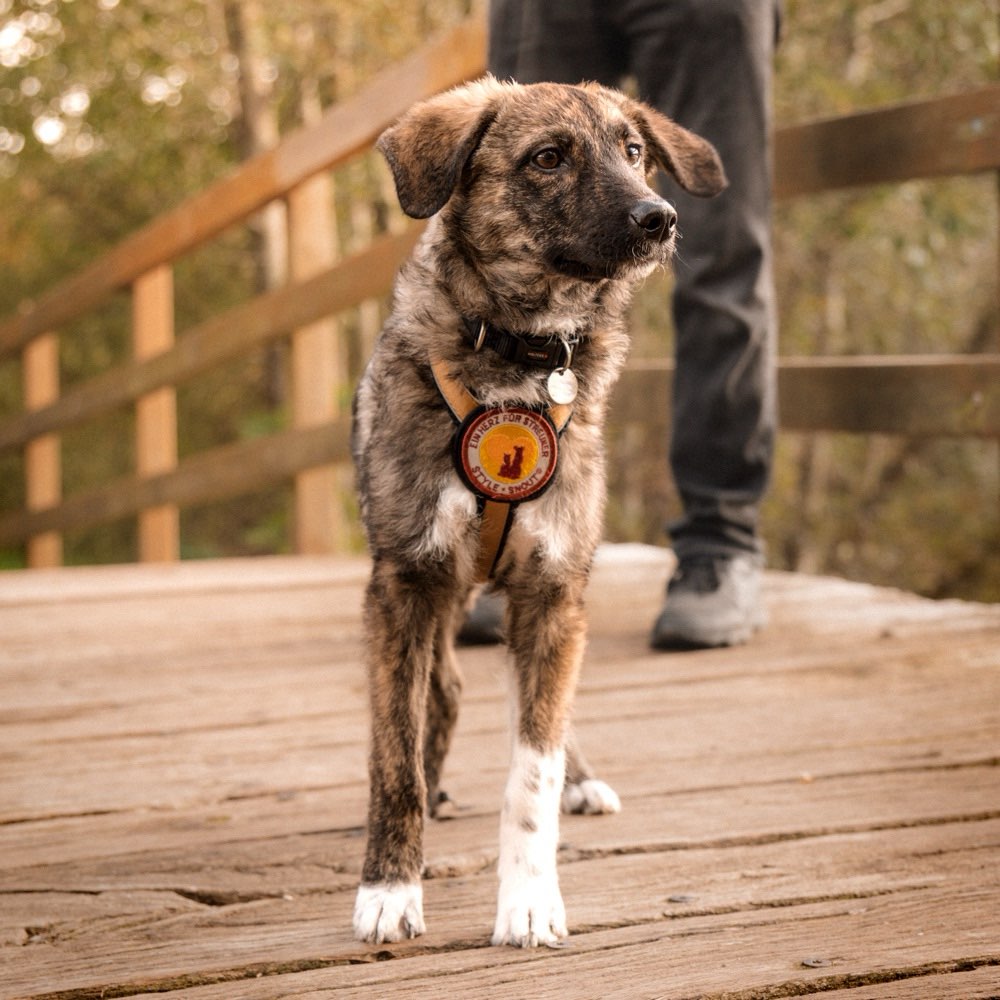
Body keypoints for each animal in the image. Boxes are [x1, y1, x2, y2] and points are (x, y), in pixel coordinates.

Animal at [352, 76, 728, 944]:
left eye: (635, 150)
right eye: (548, 158)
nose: (660, 218)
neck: (519, 356)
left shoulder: (553, 592)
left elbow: (534, 768)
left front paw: (528, 899)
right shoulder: (403, 586)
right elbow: (394, 756)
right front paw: (390, 888)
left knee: (543, 719)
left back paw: (581, 780)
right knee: (442, 696)